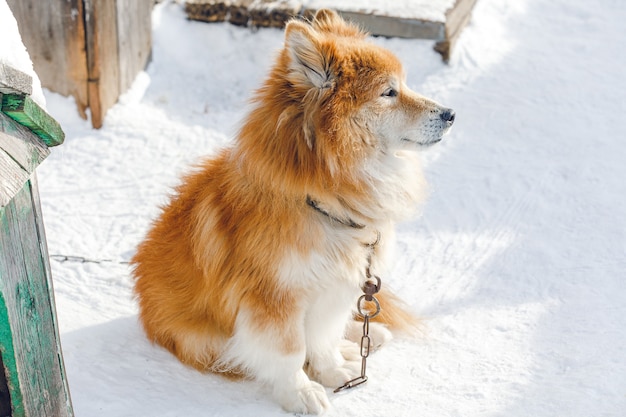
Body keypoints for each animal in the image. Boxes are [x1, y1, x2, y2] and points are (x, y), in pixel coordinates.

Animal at [132, 9, 454, 412]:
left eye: (404, 85)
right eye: (388, 92)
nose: (451, 113)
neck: (320, 200)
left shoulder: (334, 288)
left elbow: (322, 340)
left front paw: (333, 371)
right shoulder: (274, 299)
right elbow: (290, 351)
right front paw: (301, 393)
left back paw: (361, 339)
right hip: (200, 339)